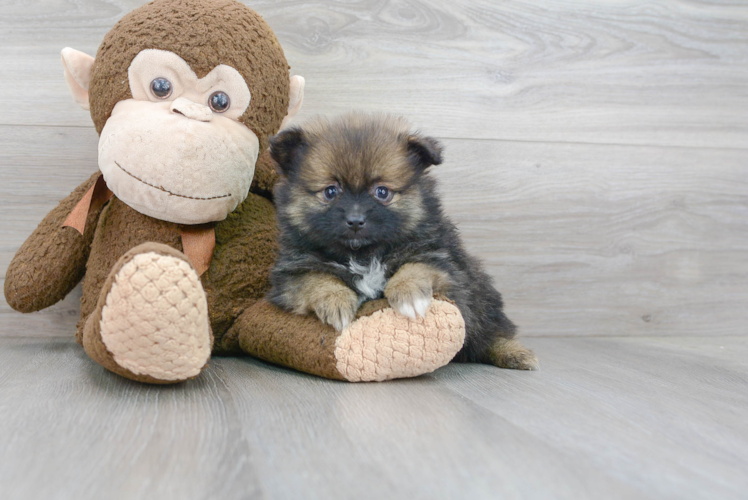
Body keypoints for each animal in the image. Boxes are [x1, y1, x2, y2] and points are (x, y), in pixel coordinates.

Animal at [268, 114, 536, 372]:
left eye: (382, 192)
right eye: (331, 191)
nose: (355, 220)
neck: (363, 255)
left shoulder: (442, 261)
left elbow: (414, 267)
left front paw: (409, 295)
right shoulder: (292, 275)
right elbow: (317, 279)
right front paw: (336, 302)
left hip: (482, 298)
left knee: (493, 333)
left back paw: (515, 354)